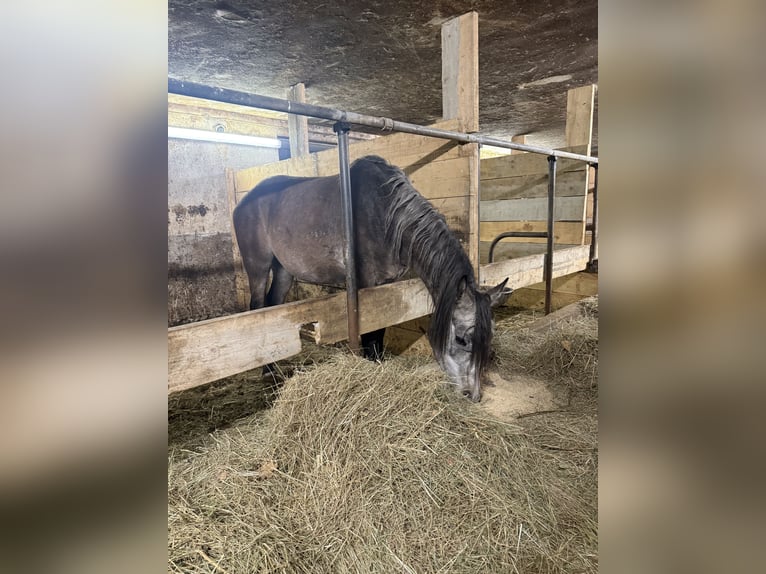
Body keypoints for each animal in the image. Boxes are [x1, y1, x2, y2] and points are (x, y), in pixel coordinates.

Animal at [233, 155, 510, 401]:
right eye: (462, 339)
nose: (473, 395)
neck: (386, 215)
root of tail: (244, 202)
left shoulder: (386, 284)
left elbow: (381, 329)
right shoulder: (366, 284)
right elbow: (370, 334)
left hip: (283, 270)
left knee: (273, 305)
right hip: (258, 267)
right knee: (258, 307)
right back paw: (267, 371)